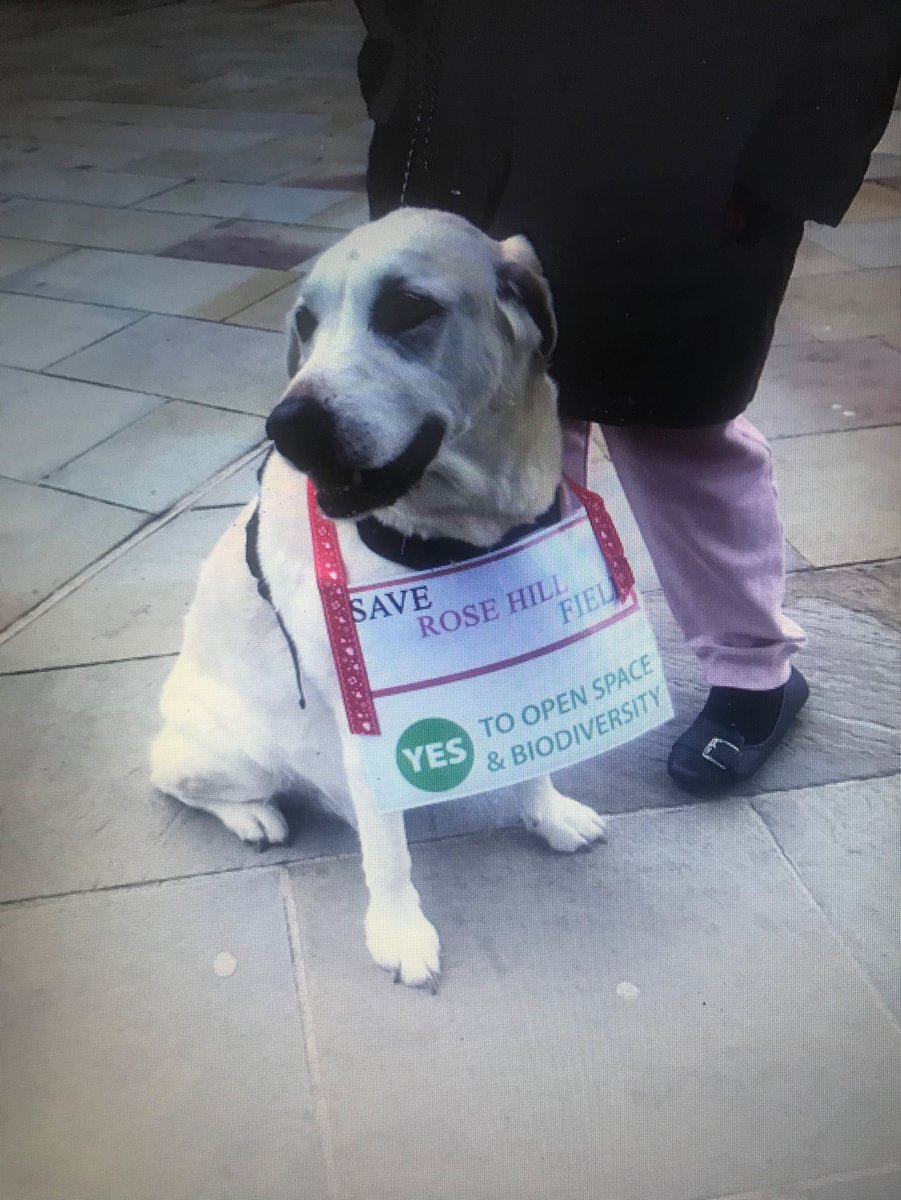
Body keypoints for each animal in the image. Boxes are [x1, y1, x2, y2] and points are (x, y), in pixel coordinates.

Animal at [151, 211, 609, 988]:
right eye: (305, 322)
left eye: (407, 308)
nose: (286, 426)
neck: (462, 534)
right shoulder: (369, 716)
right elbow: (388, 851)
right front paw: (398, 930)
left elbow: (533, 760)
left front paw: (546, 814)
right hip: (228, 752)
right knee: (176, 781)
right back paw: (252, 817)